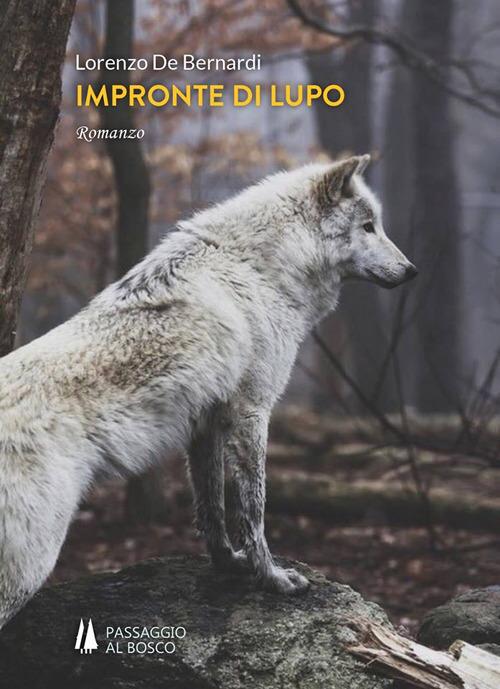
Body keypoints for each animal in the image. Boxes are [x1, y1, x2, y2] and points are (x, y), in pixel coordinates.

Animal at [0, 155, 416, 627]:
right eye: (369, 226)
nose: (412, 271)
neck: (259, 268)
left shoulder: (206, 424)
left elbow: (211, 507)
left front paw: (228, 564)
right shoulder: (252, 411)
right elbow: (252, 510)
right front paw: (272, 578)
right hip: (31, 566)